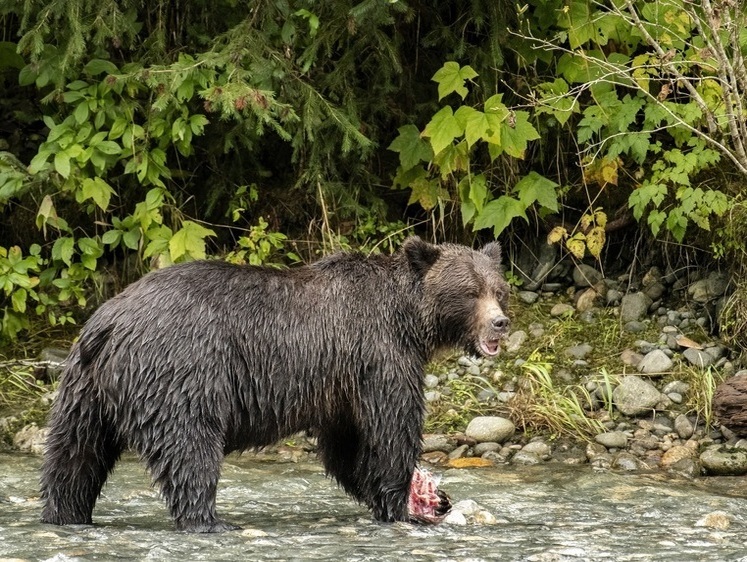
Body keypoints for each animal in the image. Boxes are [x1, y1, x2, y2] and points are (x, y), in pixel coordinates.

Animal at [39, 235, 508, 528]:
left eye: (498, 289)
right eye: (470, 291)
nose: (501, 323)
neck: (407, 319)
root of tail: (111, 323)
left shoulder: (340, 386)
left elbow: (347, 447)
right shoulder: (378, 354)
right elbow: (390, 429)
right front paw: (404, 505)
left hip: (84, 389)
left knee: (74, 456)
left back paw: (65, 513)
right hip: (181, 371)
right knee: (189, 445)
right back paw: (209, 520)